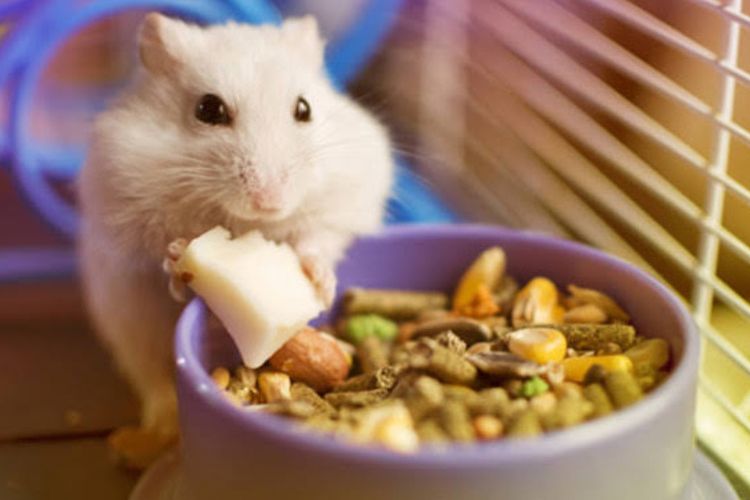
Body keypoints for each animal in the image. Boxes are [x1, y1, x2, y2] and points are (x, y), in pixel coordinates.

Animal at [77, 13, 394, 462]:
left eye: (304, 109)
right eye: (208, 109)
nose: (269, 200)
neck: (243, 221)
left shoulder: (345, 201)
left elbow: (317, 238)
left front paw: (319, 282)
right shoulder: (124, 211)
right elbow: (160, 250)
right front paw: (179, 256)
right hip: (130, 324)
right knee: (154, 381)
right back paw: (154, 430)